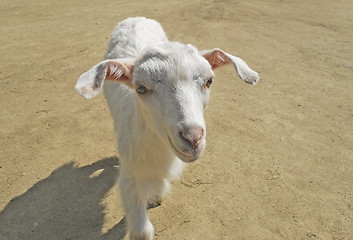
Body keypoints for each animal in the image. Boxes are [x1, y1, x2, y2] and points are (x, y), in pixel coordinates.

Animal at [74, 17, 258, 240]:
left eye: (209, 81)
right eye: (141, 88)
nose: (192, 137)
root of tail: (136, 18)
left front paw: (156, 195)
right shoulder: (130, 174)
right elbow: (141, 231)